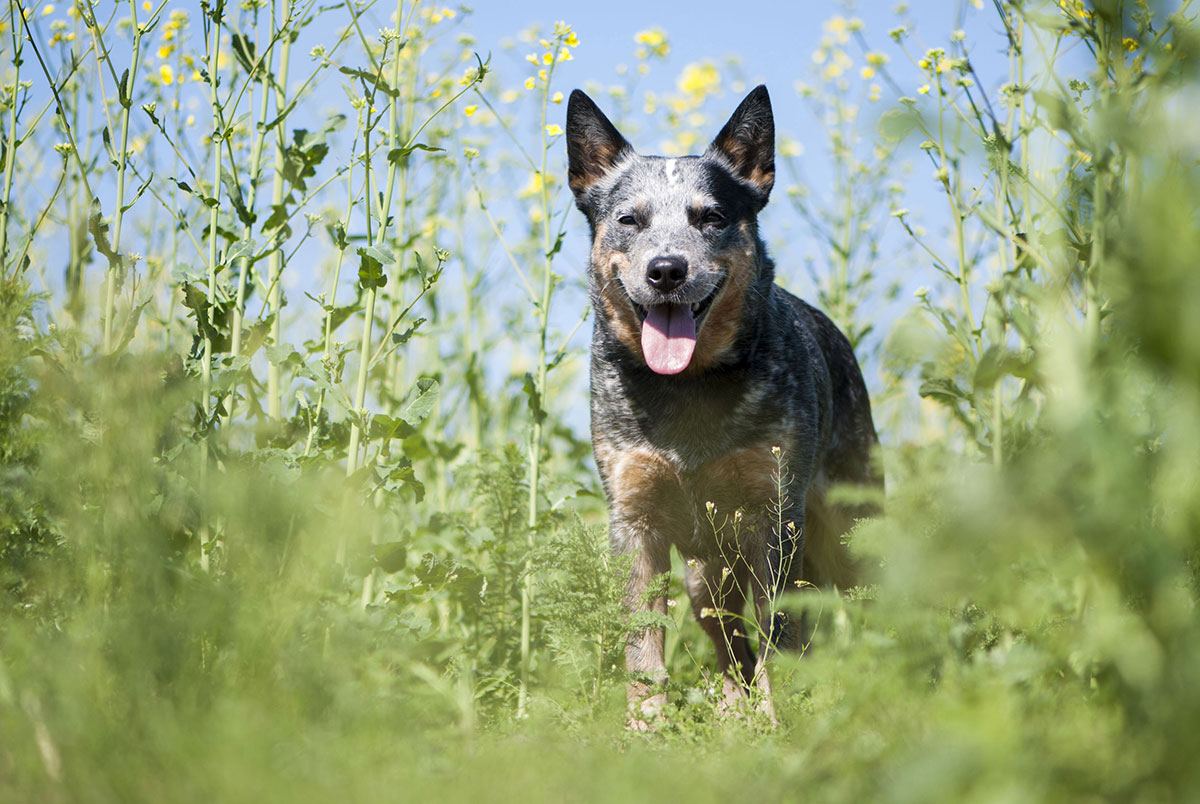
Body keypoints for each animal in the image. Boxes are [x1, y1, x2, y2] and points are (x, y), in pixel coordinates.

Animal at [561, 85, 883, 729]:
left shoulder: (774, 517)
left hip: (848, 528)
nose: (666, 270)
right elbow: (643, 647)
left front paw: (783, 724)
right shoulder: (634, 521)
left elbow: (779, 633)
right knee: (730, 646)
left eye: (710, 217)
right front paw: (645, 729)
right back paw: (734, 715)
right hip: (705, 577)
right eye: (629, 220)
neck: (688, 389)